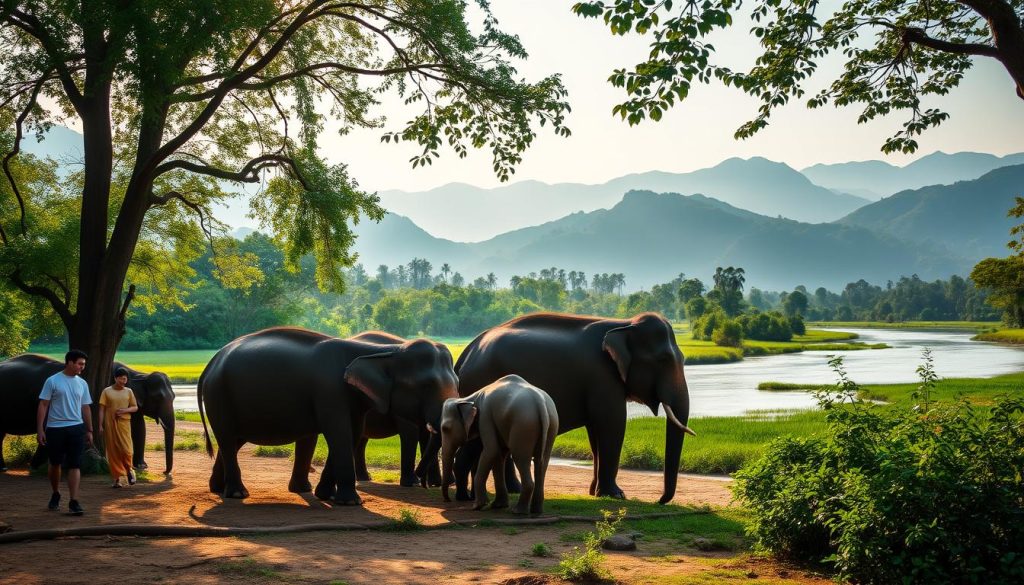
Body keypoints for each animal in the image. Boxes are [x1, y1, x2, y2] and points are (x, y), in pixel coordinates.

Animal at [0, 354, 176, 474]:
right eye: (158, 397)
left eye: (174, 397)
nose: (165, 472)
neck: (138, 374)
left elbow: (139, 426)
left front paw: (141, 466)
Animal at [197, 326, 458, 505]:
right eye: (426, 385)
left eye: (457, 382)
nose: (424, 484)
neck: (383, 353)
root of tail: (211, 363)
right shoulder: (330, 391)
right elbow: (340, 433)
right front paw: (351, 502)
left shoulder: (354, 398)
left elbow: (351, 433)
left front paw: (326, 495)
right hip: (219, 396)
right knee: (228, 438)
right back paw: (237, 493)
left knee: (233, 440)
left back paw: (220, 489)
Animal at [439, 374, 558, 515]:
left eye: (445, 428)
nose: (447, 500)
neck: (469, 399)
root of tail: (540, 403)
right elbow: (499, 454)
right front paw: (498, 505)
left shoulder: (485, 417)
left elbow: (491, 450)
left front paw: (477, 506)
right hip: (551, 425)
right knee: (542, 461)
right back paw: (536, 511)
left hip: (523, 426)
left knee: (520, 458)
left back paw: (518, 511)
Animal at [454, 312, 695, 504]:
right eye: (663, 360)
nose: (659, 501)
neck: (624, 324)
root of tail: (466, 353)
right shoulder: (602, 377)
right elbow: (612, 424)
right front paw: (616, 495)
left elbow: (595, 433)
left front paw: (595, 492)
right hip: (482, 379)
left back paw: (512, 490)